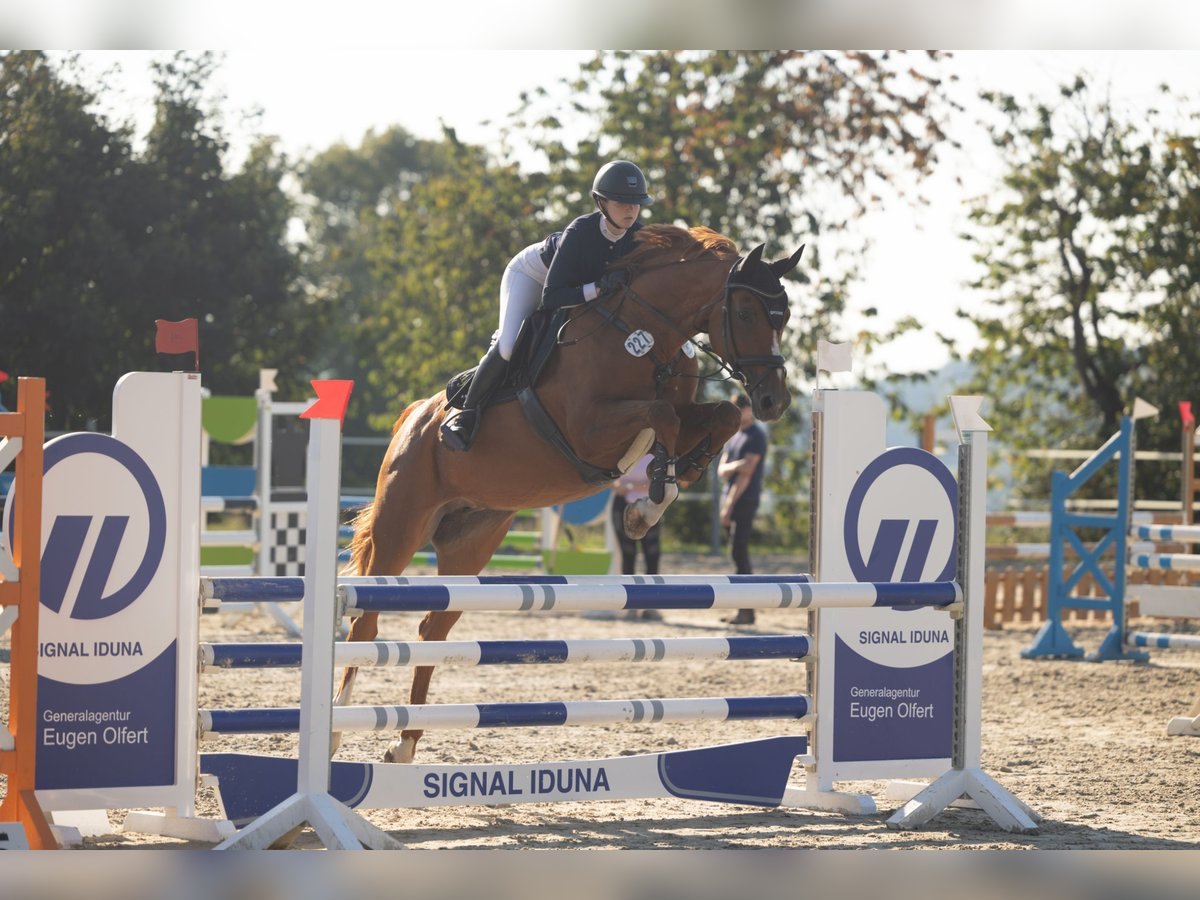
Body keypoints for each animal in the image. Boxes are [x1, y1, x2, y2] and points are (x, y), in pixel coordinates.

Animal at [338, 224, 806, 763]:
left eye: (784, 316)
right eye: (747, 313)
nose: (774, 402)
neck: (649, 335)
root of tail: (412, 418)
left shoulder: (679, 416)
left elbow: (719, 416)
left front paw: (666, 487)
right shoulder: (588, 430)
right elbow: (659, 417)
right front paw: (648, 499)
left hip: (469, 543)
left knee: (432, 631)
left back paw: (405, 743)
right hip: (401, 527)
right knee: (365, 624)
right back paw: (336, 728)